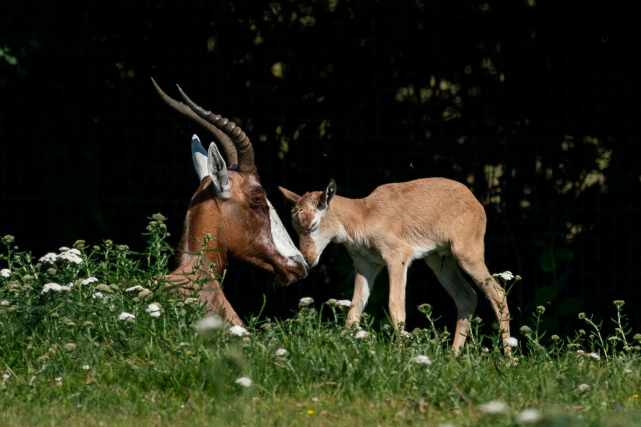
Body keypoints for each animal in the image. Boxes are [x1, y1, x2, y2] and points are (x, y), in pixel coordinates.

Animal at [278, 179, 512, 352]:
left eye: (313, 223)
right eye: (294, 226)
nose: (307, 260)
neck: (364, 214)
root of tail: (474, 201)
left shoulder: (397, 257)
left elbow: (395, 306)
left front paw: (400, 355)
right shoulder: (365, 265)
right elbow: (354, 311)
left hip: (467, 256)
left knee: (497, 293)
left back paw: (509, 360)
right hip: (439, 262)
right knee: (467, 296)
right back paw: (454, 356)